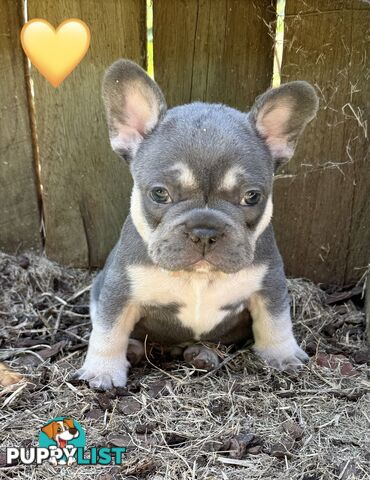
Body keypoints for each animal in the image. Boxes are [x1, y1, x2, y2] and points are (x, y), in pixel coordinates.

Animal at [76, 60, 320, 390]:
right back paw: (135, 349)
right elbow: (109, 330)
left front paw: (283, 354)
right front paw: (102, 370)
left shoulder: (269, 284)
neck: (199, 277)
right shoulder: (118, 290)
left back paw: (203, 353)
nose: (205, 231)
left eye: (251, 197)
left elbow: (276, 320)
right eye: (159, 193)